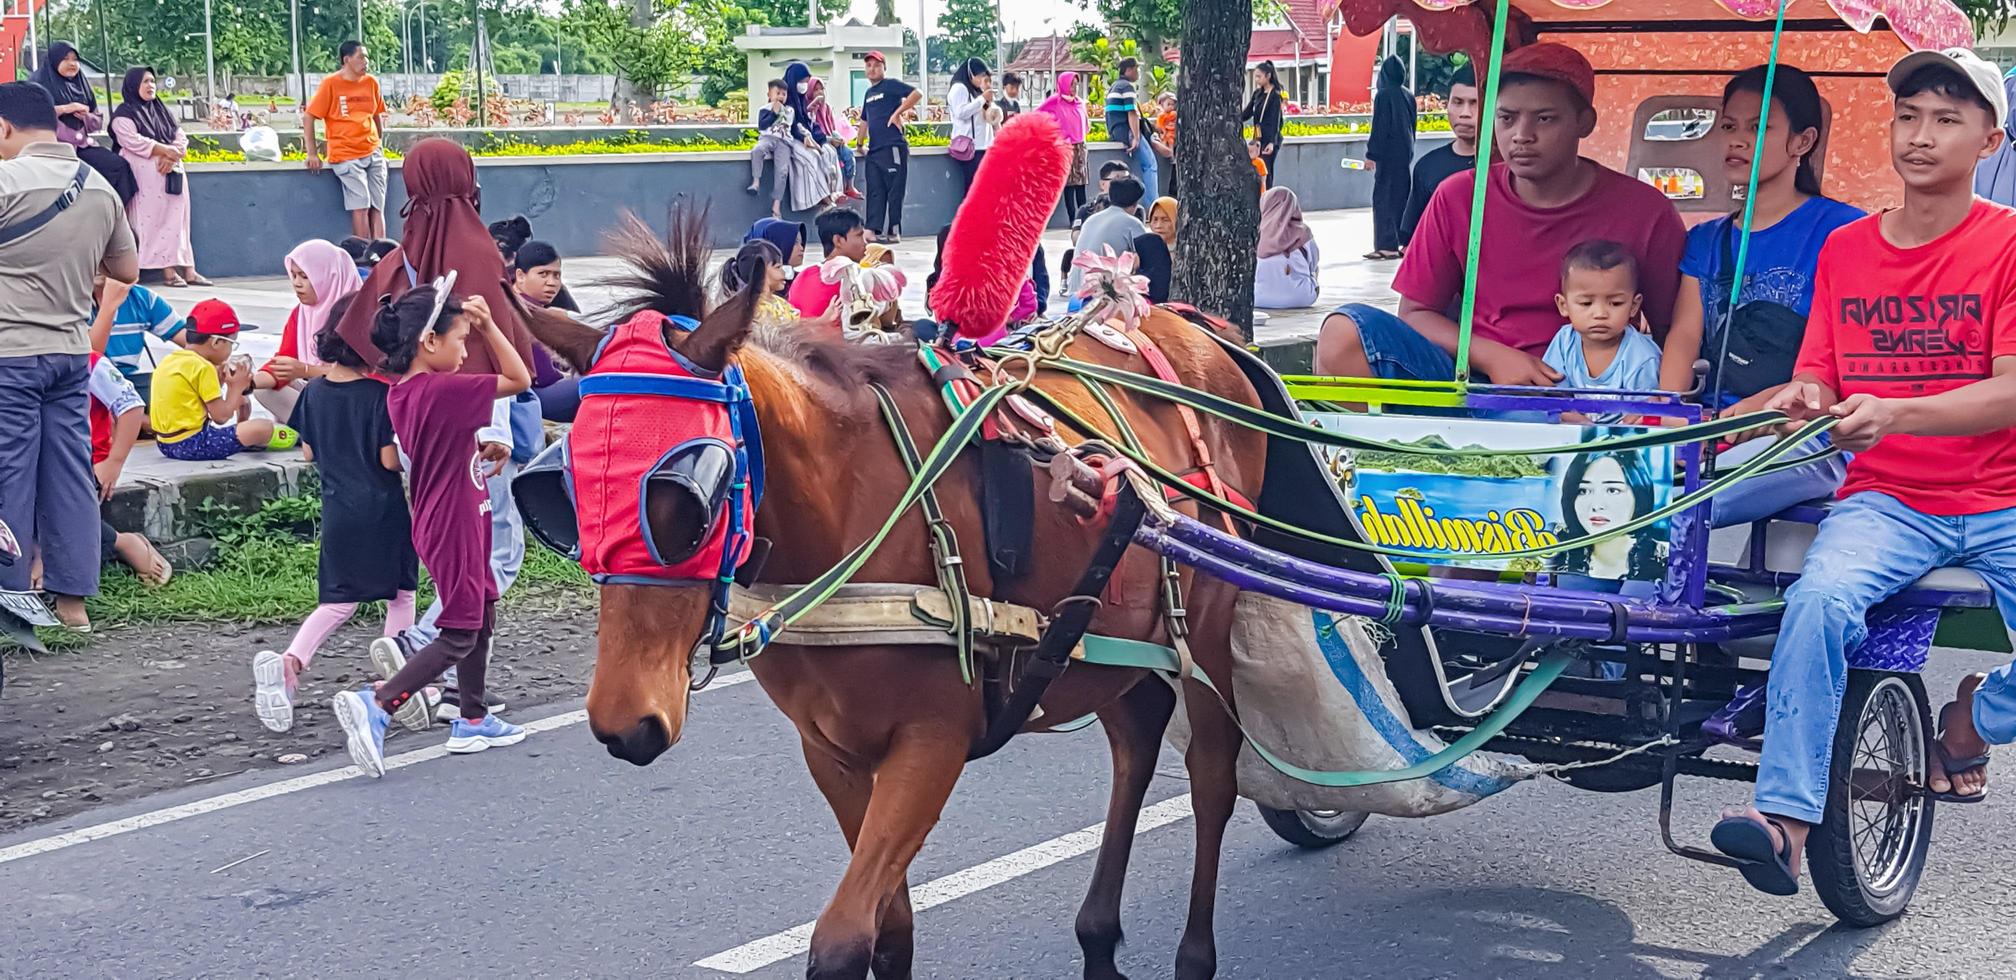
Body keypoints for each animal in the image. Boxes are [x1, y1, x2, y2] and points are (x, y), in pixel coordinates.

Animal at [524, 216, 1274, 980]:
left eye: (686, 500)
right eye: (563, 494)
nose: (624, 722)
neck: (848, 511)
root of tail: (1198, 328)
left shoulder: (933, 740)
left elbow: (842, 941)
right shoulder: (832, 750)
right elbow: (890, 932)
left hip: (1209, 617)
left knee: (1213, 777)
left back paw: (1194, 954)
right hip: (1109, 639)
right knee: (1137, 736)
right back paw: (1096, 936)